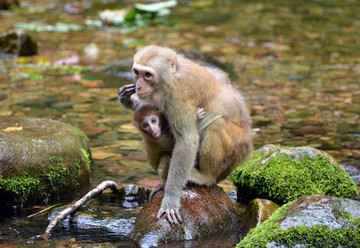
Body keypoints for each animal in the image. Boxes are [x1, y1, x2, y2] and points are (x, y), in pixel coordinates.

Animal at [119, 45, 253, 226]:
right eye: (137, 72)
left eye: (147, 75)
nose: (138, 86)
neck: (168, 79)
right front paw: (126, 99)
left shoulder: (178, 95)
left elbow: (186, 140)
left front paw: (170, 199)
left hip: (235, 153)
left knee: (217, 124)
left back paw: (205, 177)